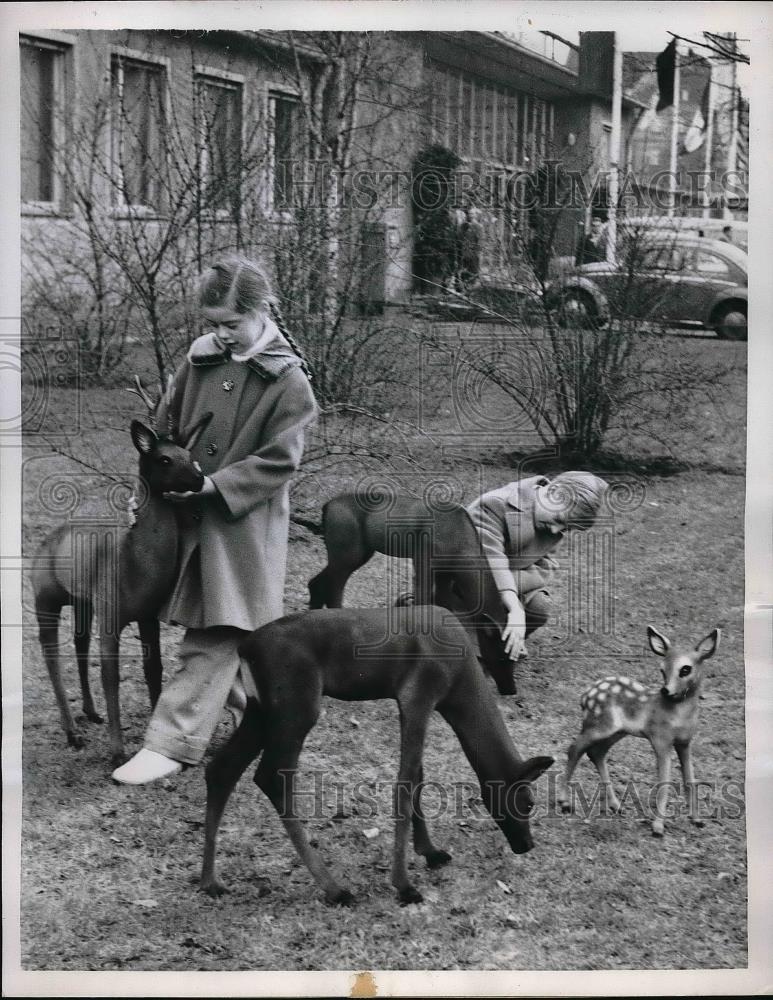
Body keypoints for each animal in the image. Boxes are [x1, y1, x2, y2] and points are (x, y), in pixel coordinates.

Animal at [31, 378, 211, 768]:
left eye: (190, 455)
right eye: (164, 458)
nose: (198, 477)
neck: (135, 564)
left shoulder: (147, 614)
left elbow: (153, 668)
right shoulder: (112, 611)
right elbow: (111, 676)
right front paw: (117, 752)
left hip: (83, 600)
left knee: (78, 643)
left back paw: (90, 712)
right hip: (44, 594)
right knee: (50, 651)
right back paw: (73, 733)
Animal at [196, 600, 552, 908]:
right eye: (528, 802)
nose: (527, 844)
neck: (460, 683)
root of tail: (245, 649)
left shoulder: (409, 704)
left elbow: (419, 775)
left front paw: (430, 851)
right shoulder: (419, 695)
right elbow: (405, 784)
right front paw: (404, 885)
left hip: (260, 711)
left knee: (222, 768)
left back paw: (210, 881)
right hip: (296, 707)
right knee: (271, 777)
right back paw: (335, 889)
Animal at [304, 492, 516, 696]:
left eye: (516, 658)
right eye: (501, 656)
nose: (510, 690)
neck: (460, 548)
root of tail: (326, 507)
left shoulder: (445, 575)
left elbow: (444, 607)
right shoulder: (423, 560)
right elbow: (423, 602)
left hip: (358, 551)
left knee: (316, 582)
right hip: (348, 549)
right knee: (334, 588)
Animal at [556, 624, 716, 836]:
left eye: (685, 669)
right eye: (662, 669)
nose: (666, 690)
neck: (678, 715)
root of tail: (584, 697)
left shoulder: (685, 741)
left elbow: (689, 778)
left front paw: (697, 820)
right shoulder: (660, 737)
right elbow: (665, 780)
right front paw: (658, 827)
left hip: (617, 731)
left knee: (596, 753)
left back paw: (616, 806)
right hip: (597, 725)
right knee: (575, 748)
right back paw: (564, 801)